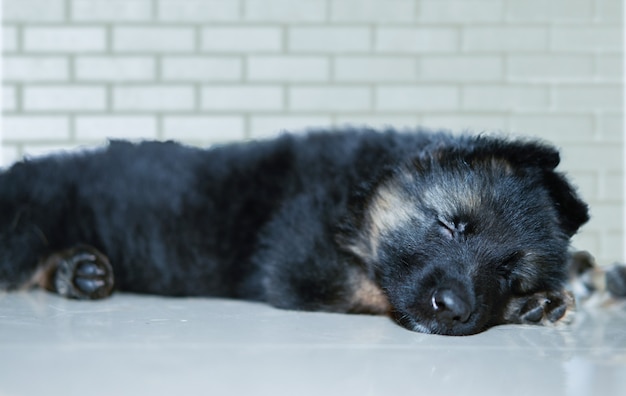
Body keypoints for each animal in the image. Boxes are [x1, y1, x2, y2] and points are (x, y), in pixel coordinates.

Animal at [0, 129, 584, 334]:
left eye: (509, 274)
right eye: (450, 225)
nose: (456, 308)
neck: (360, 192)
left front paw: (542, 296)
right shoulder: (297, 261)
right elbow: (376, 288)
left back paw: (77, 271)